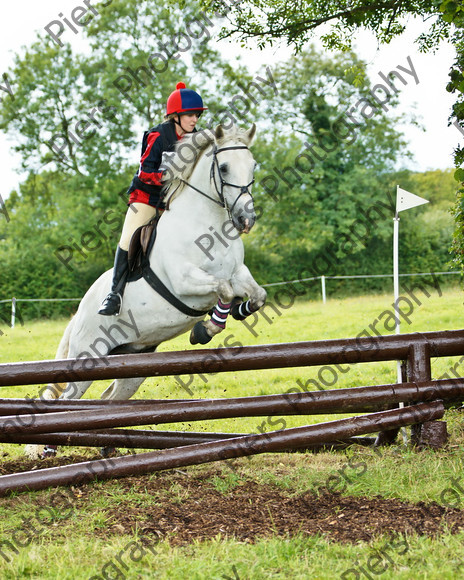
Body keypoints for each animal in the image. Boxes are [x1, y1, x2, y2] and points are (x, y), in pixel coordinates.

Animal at [27, 122, 266, 458]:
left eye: (253, 166)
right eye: (223, 167)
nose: (247, 219)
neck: (207, 225)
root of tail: (81, 310)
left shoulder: (238, 273)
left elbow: (256, 295)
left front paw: (240, 311)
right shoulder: (184, 283)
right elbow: (224, 290)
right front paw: (204, 331)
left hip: (134, 362)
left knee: (108, 401)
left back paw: (106, 447)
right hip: (88, 355)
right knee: (68, 400)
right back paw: (50, 448)